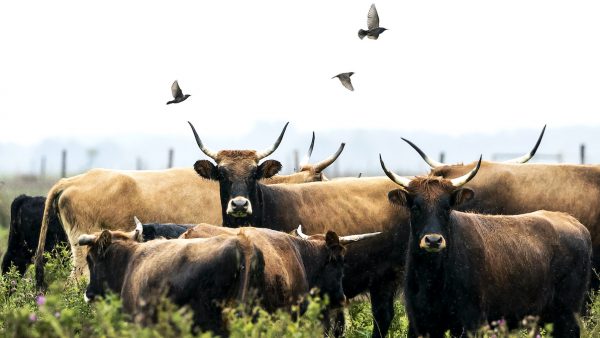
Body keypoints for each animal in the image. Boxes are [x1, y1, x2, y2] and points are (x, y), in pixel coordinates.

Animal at [380, 155, 592, 338]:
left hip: (568, 313)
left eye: (446, 207)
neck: (433, 279)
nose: (433, 240)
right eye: (415, 208)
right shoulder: (421, 323)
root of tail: (574, 222)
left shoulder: (472, 321)